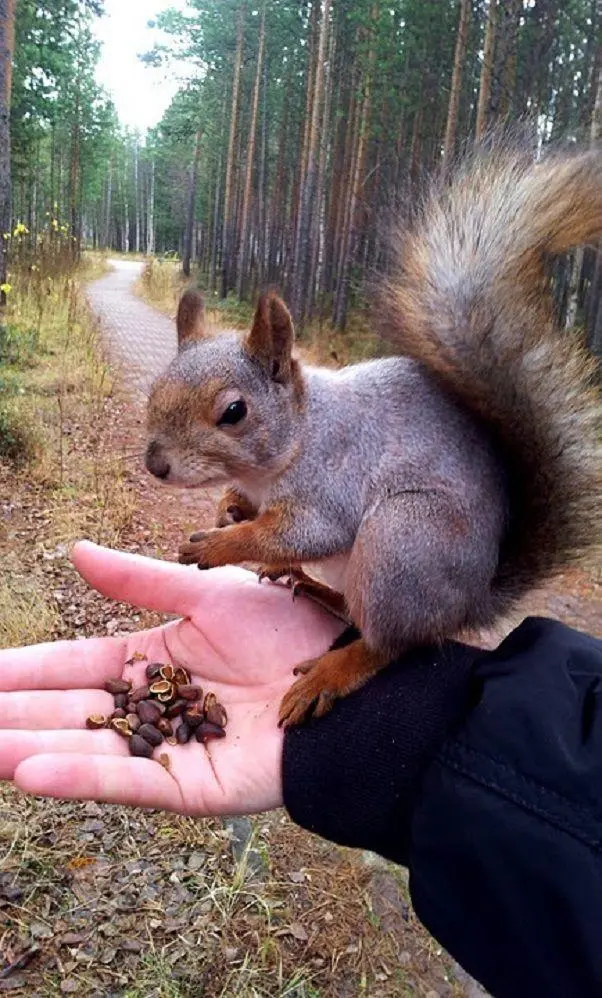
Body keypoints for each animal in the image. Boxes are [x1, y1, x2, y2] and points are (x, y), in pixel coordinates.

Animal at [144, 143, 600, 728]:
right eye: (156, 387)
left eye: (234, 411)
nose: (156, 464)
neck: (298, 438)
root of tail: (469, 603)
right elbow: (252, 509)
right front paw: (229, 507)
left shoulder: (333, 485)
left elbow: (303, 533)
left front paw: (224, 542)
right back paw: (311, 586)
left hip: (402, 542)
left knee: (388, 643)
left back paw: (330, 669)